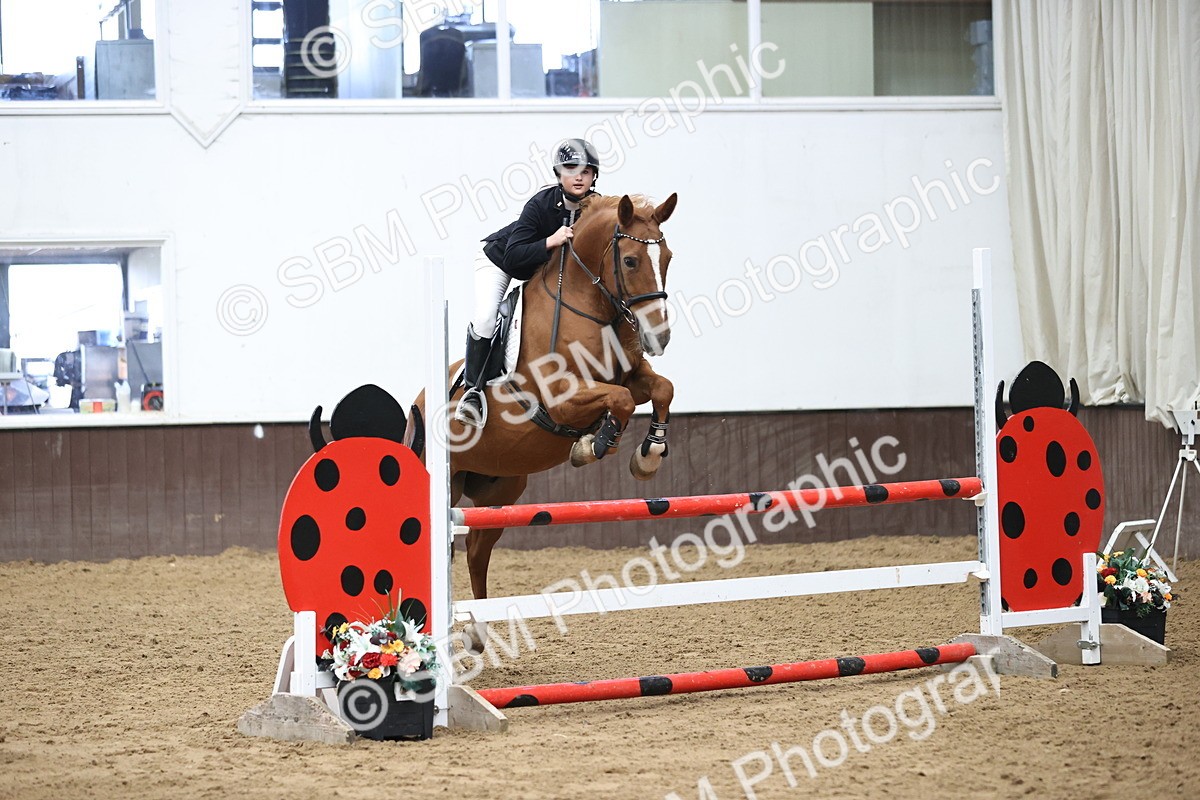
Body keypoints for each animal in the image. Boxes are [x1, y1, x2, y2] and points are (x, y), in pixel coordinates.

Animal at [415, 193, 678, 630]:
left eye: (669, 258)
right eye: (630, 261)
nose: (659, 336)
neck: (588, 306)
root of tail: (418, 401)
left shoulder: (631, 377)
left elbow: (660, 388)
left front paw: (649, 453)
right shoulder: (561, 398)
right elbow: (620, 401)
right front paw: (594, 444)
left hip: (502, 489)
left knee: (477, 550)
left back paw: (478, 632)